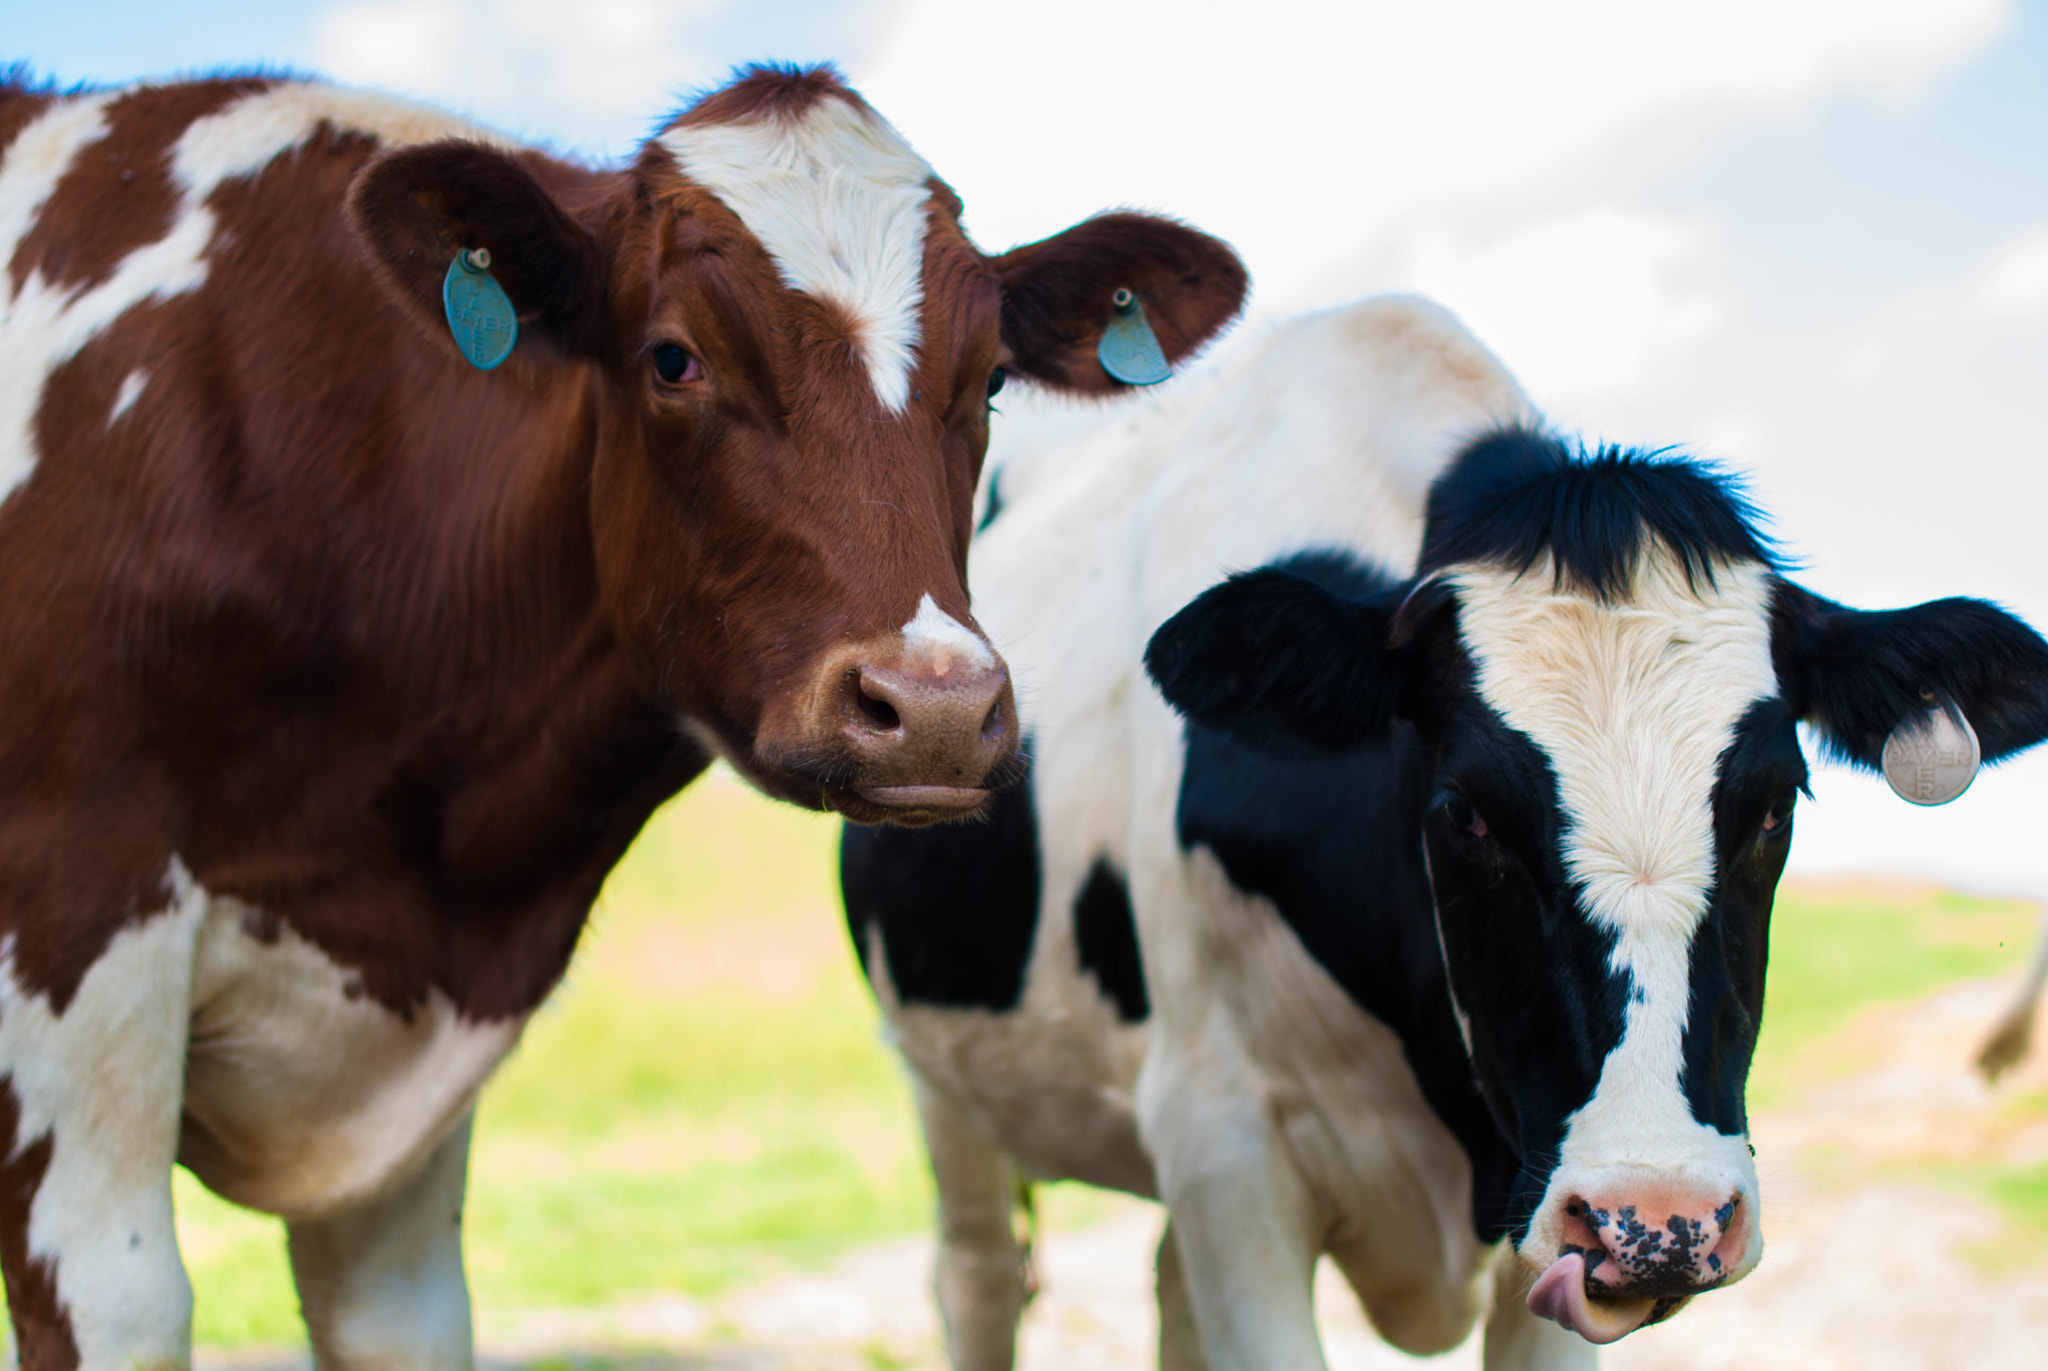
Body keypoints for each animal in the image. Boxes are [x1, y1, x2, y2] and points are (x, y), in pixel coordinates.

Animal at [841, 295, 2048, 1370]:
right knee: (979, 1279)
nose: (1659, 1217)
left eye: (1773, 804)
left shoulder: (1534, 1200)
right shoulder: (1227, 1145)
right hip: (938, 1082)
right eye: (1463, 809)